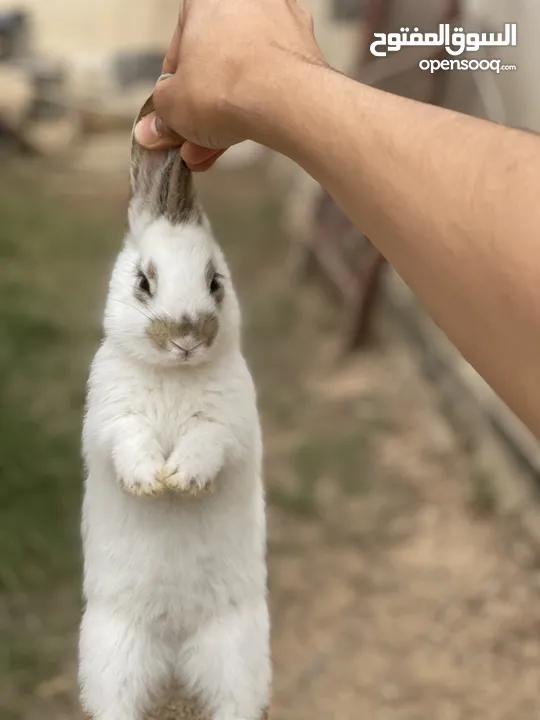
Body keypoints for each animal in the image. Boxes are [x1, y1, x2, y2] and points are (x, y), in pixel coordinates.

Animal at [78, 91, 270, 720]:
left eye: (216, 282)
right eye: (144, 282)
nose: (186, 337)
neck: (173, 376)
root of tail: (174, 646)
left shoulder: (229, 428)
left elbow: (206, 444)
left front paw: (180, 480)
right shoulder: (110, 420)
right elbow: (129, 441)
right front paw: (149, 482)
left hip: (237, 651)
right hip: (111, 651)